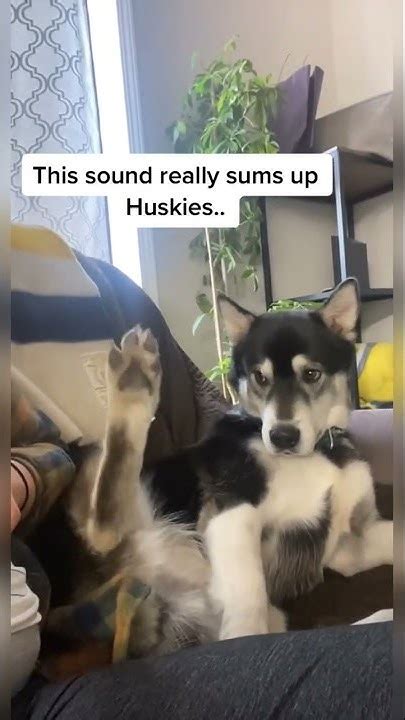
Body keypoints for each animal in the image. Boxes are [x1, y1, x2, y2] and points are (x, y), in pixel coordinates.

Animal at [58, 280, 390, 660]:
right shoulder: (233, 507)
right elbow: (249, 594)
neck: (319, 453)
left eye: (311, 374)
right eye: (260, 377)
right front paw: (247, 641)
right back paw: (134, 377)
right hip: (116, 488)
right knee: (103, 527)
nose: (282, 437)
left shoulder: (347, 544)